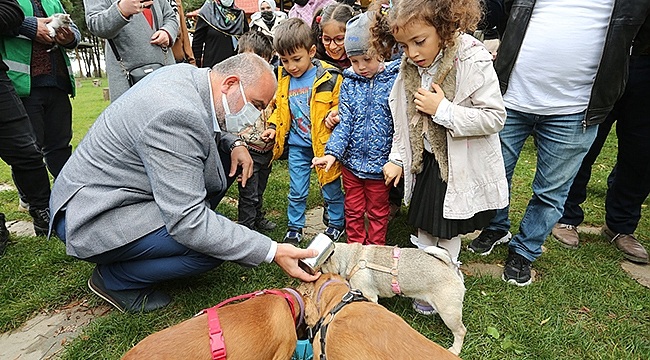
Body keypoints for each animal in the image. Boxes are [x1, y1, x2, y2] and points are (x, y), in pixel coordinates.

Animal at [316, 242, 464, 354]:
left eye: (321, 270)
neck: (351, 258)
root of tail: (450, 266)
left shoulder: (369, 295)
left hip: (448, 312)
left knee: (460, 331)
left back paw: (455, 349)